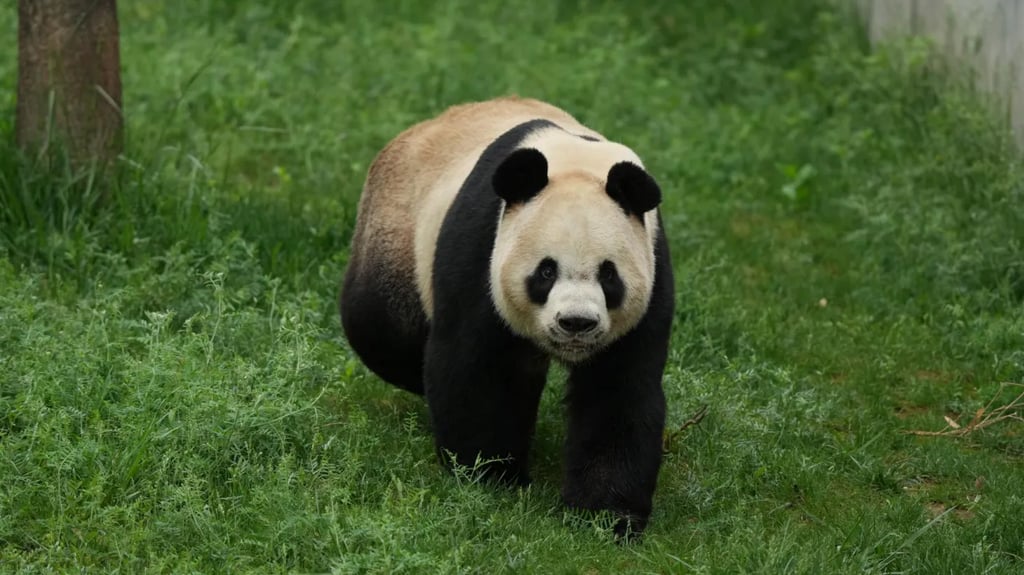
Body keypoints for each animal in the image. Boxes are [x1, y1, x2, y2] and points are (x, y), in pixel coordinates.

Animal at [340, 96, 674, 536]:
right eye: (546, 272)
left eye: (609, 275)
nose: (576, 323)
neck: (577, 162)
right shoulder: (482, 250)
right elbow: (478, 369)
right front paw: (491, 476)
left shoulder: (651, 271)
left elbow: (618, 392)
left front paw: (605, 515)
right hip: (398, 233)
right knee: (384, 329)